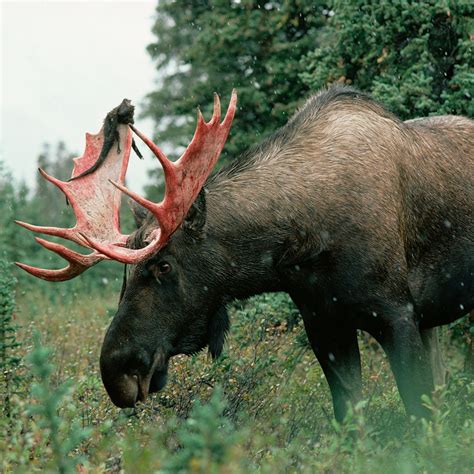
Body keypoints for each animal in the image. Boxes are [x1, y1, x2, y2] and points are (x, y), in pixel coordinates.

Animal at [15, 87, 474, 420]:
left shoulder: (396, 313)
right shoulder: (324, 323)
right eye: (123, 278)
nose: (116, 372)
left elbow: (416, 415)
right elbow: (350, 415)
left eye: (163, 265)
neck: (300, 244)